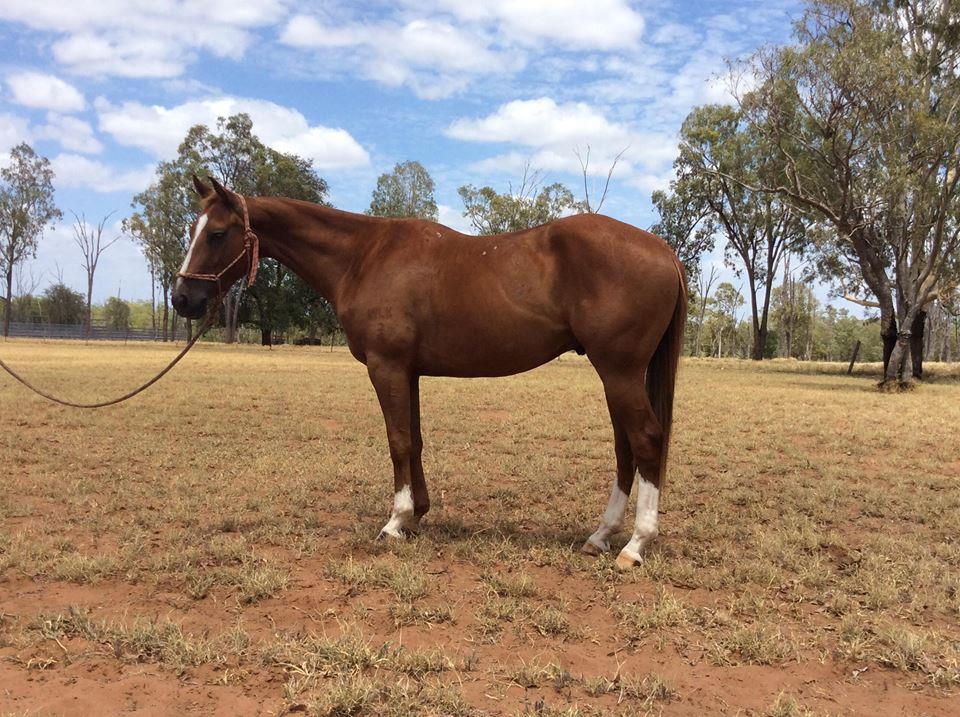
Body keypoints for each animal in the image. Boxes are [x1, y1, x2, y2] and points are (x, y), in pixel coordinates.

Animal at [173, 175, 687, 569]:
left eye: (217, 234)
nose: (182, 298)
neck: (363, 257)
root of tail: (663, 250)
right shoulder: (409, 372)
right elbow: (414, 439)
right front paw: (417, 515)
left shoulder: (386, 367)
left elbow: (398, 440)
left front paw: (395, 522)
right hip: (616, 375)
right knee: (625, 448)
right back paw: (600, 536)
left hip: (619, 371)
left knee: (645, 440)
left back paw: (634, 546)